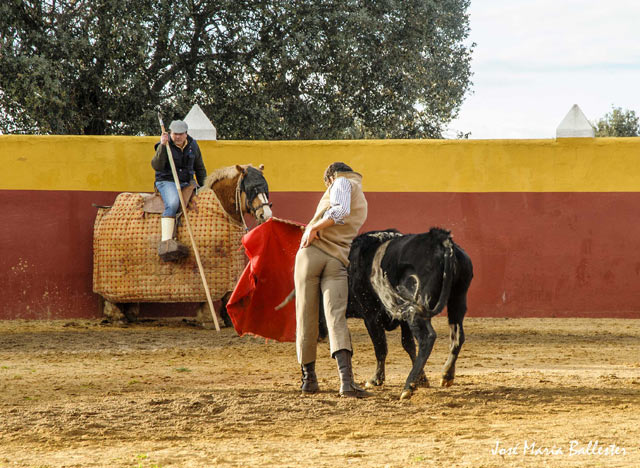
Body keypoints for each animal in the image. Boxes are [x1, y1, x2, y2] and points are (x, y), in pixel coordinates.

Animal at [92, 163, 270, 324]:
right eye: (251, 188)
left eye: (265, 187)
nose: (266, 214)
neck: (222, 208)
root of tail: (107, 209)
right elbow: (210, 294)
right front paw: (208, 318)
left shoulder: (230, 267)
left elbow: (229, 292)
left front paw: (228, 318)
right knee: (110, 296)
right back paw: (117, 316)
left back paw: (131, 313)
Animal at [336, 227, 476, 398]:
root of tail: (440, 240)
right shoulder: (401, 321)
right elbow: (408, 345)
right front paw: (422, 380)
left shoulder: (371, 315)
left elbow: (380, 347)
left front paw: (376, 380)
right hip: (457, 298)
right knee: (457, 336)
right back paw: (446, 375)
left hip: (416, 307)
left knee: (427, 337)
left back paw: (407, 387)